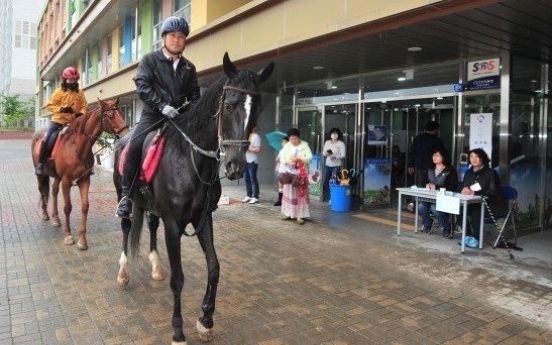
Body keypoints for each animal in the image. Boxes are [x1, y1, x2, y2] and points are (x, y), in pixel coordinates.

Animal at [31, 98, 128, 249]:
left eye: (122, 114)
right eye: (110, 115)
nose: (126, 133)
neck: (77, 147)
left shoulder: (84, 180)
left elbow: (85, 206)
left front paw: (82, 240)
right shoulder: (66, 181)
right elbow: (67, 207)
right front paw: (68, 236)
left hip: (57, 177)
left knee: (53, 191)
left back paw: (56, 218)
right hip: (41, 175)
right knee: (42, 191)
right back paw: (46, 214)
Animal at [113, 52, 274, 342]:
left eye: (257, 111)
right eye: (229, 106)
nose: (235, 166)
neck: (190, 159)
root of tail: (123, 138)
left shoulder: (202, 219)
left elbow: (214, 266)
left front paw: (206, 320)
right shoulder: (174, 225)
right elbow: (178, 278)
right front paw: (178, 331)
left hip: (152, 207)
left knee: (150, 225)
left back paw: (156, 267)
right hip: (124, 196)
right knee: (126, 226)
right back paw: (123, 272)